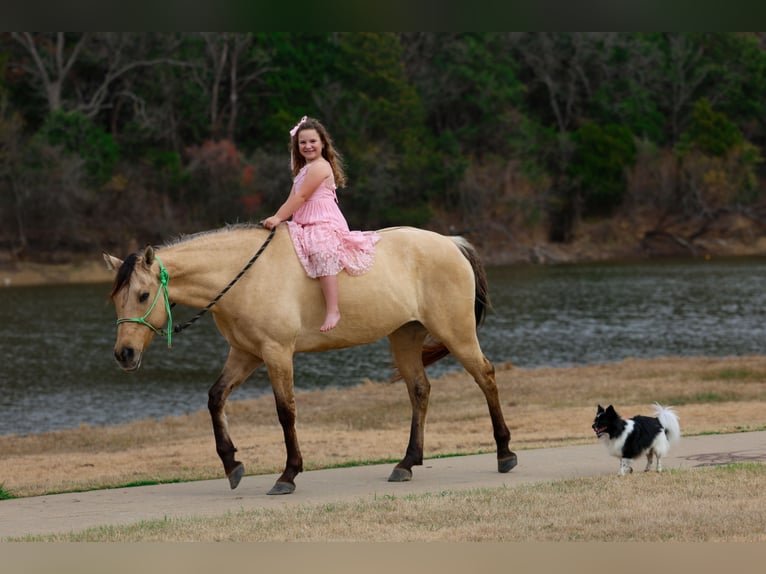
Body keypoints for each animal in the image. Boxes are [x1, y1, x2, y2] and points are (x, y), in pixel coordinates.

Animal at [103, 223, 517, 495]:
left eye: (142, 295)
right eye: (116, 299)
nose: (124, 354)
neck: (244, 277)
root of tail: (451, 243)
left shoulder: (276, 353)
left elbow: (285, 412)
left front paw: (288, 474)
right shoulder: (246, 354)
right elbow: (215, 398)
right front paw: (232, 464)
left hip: (456, 333)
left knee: (486, 376)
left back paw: (505, 453)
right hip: (405, 337)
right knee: (419, 390)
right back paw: (407, 462)